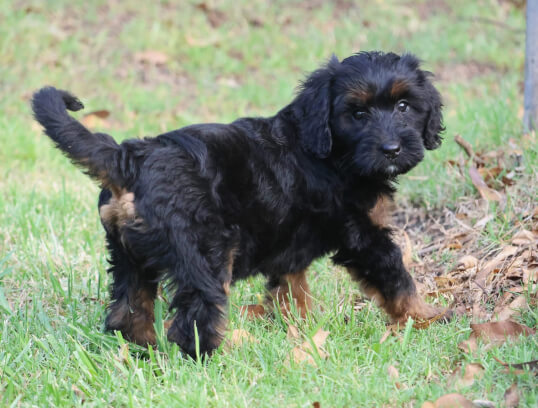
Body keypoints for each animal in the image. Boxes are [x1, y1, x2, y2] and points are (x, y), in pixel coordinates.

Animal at [30, 51, 448, 356]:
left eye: (404, 106)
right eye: (358, 114)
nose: (391, 149)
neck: (326, 149)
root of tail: (129, 158)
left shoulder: (291, 246)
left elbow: (292, 288)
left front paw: (302, 327)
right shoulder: (362, 234)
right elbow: (396, 277)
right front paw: (427, 318)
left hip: (128, 254)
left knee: (127, 313)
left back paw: (146, 353)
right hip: (207, 254)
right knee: (194, 322)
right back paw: (229, 352)